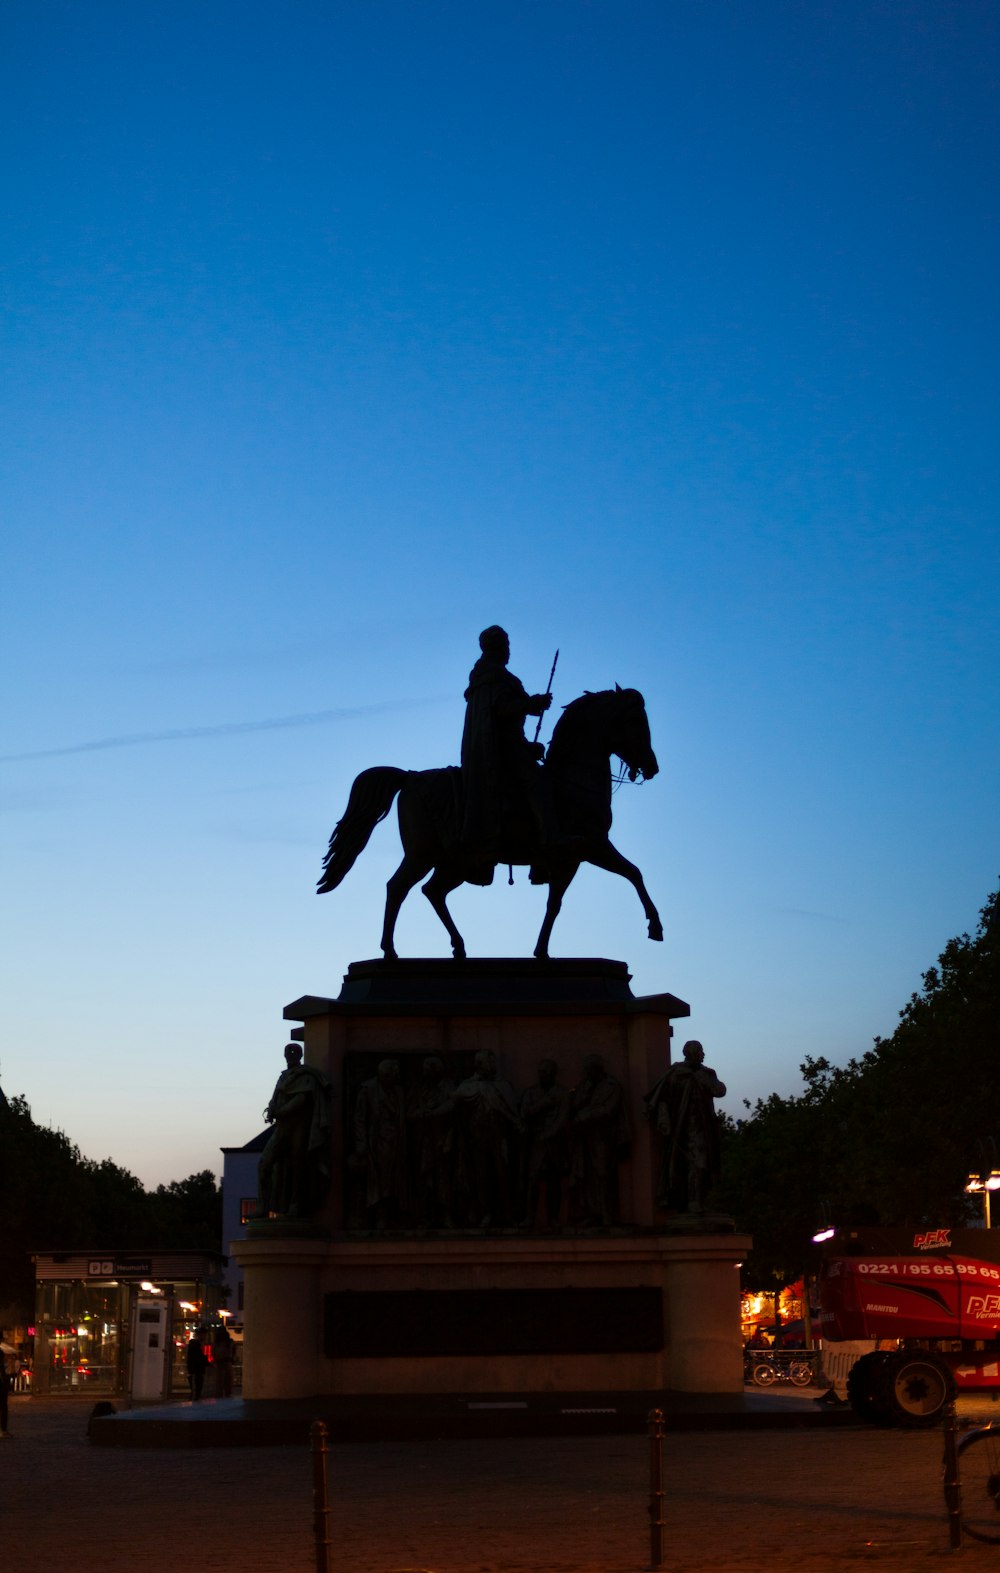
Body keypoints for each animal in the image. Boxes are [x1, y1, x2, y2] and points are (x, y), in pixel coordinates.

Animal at [320, 685, 663, 956]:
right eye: (635, 720)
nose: (652, 766)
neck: (570, 783)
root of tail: (410, 777)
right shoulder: (586, 850)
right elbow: (628, 875)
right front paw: (655, 926)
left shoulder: (578, 855)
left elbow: (572, 897)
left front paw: (542, 952)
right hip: (423, 855)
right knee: (397, 888)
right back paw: (390, 951)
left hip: (453, 863)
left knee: (433, 892)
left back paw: (458, 947)